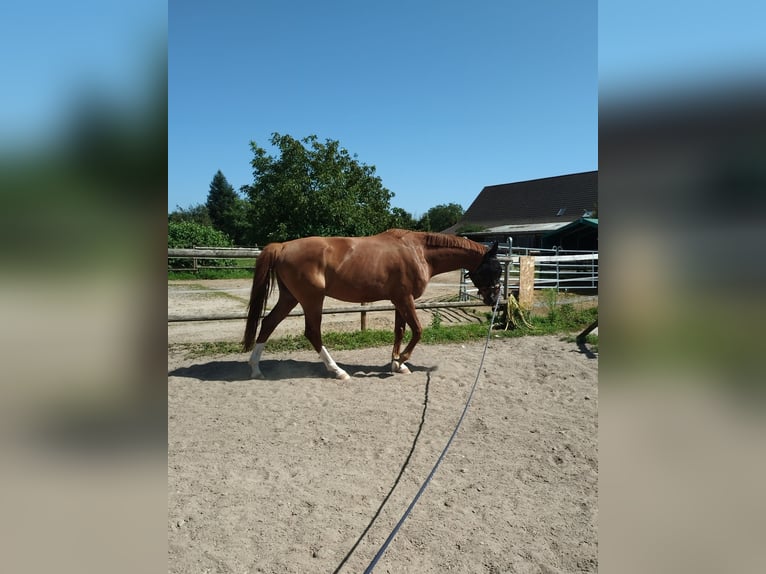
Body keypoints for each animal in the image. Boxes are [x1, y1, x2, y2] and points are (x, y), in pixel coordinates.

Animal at [242, 227, 504, 380]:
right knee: (312, 332)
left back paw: (255, 369)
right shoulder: (405, 299)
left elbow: (400, 331)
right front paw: (402, 360)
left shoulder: (399, 300)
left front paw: (397, 364)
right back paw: (337, 371)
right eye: (495, 268)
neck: (418, 251)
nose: (494, 300)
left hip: (290, 297)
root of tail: (283, 246)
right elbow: (418, 330)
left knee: (268, 323)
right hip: (312, 299)